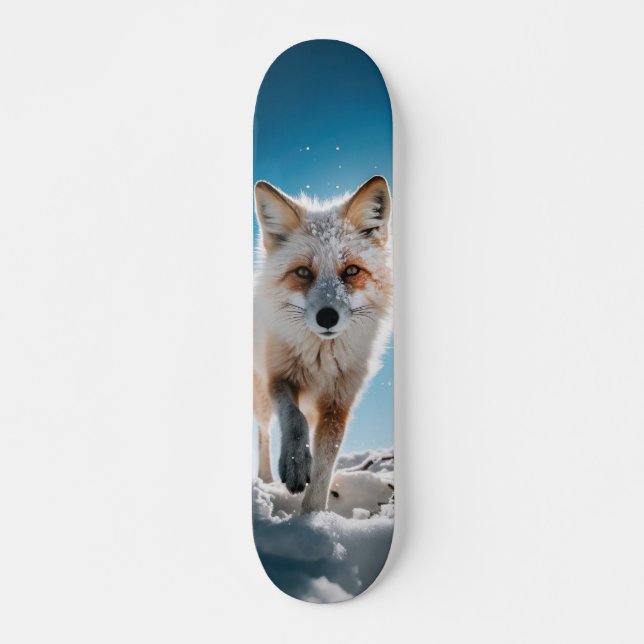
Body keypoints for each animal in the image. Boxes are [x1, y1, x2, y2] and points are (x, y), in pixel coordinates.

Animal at [253, 175, 393, 513]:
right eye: (303, 272)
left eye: (352, 270)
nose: (327, 317)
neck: (321, 359)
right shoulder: (279, 376)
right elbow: (293, 418)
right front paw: (294, 462)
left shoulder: (339, 400)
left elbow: (324, 466)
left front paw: (312, 516)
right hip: (260, 395)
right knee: (264, 433)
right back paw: (266, 479)